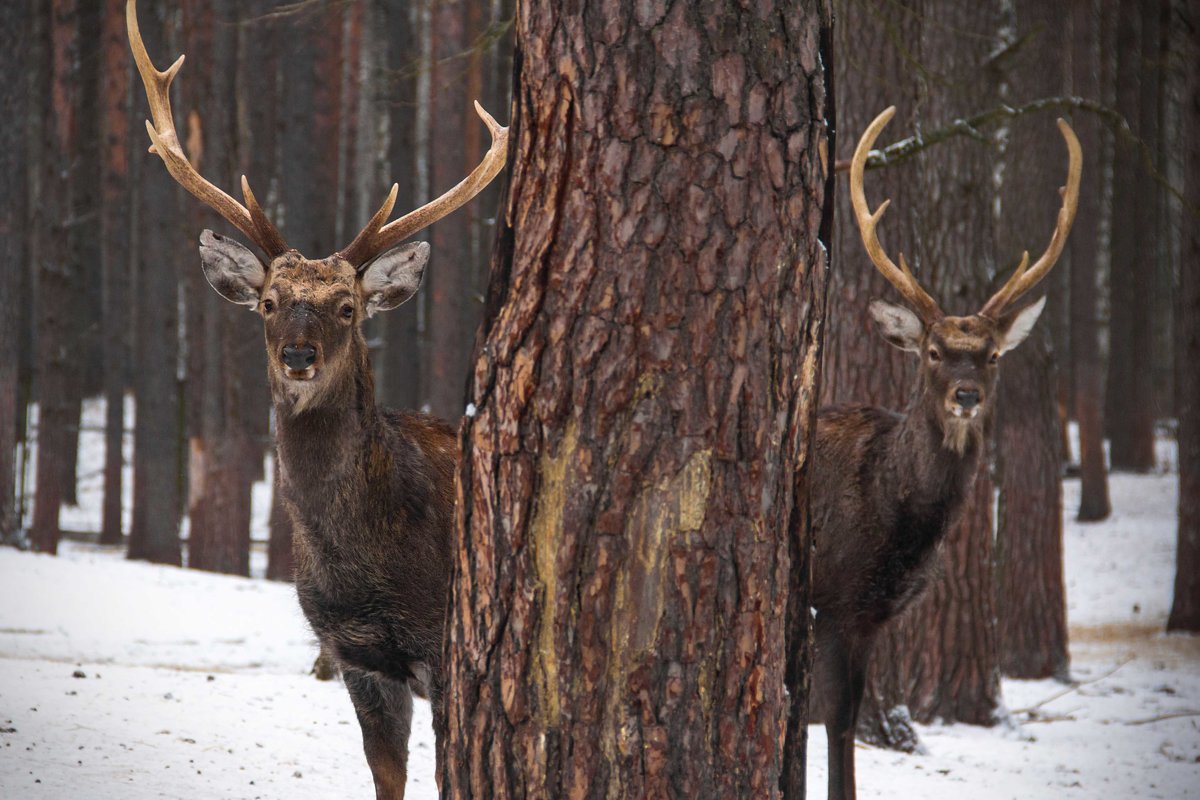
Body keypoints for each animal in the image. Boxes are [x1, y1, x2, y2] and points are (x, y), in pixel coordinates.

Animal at [127, 3, 511, 796]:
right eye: (270, 303)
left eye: (346, 307)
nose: (298, 357)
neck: (367, 563)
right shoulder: (355, 653)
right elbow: (386, 776)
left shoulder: (447, 649)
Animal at [806, 106, 1080, 800]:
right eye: (933, 351)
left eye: (992, 355)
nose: (966, 394)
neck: (896, 518)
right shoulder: (836, 598)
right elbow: (837, 722)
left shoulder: (873, 614)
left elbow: (846, 719)